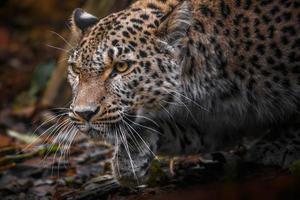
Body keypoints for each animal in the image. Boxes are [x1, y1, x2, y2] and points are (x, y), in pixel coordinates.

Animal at [67, 0, 300, 187]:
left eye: (122, 67)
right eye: (76, 70)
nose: (84, 113)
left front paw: (282, 145)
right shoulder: (222, 121)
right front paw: (130, 156)